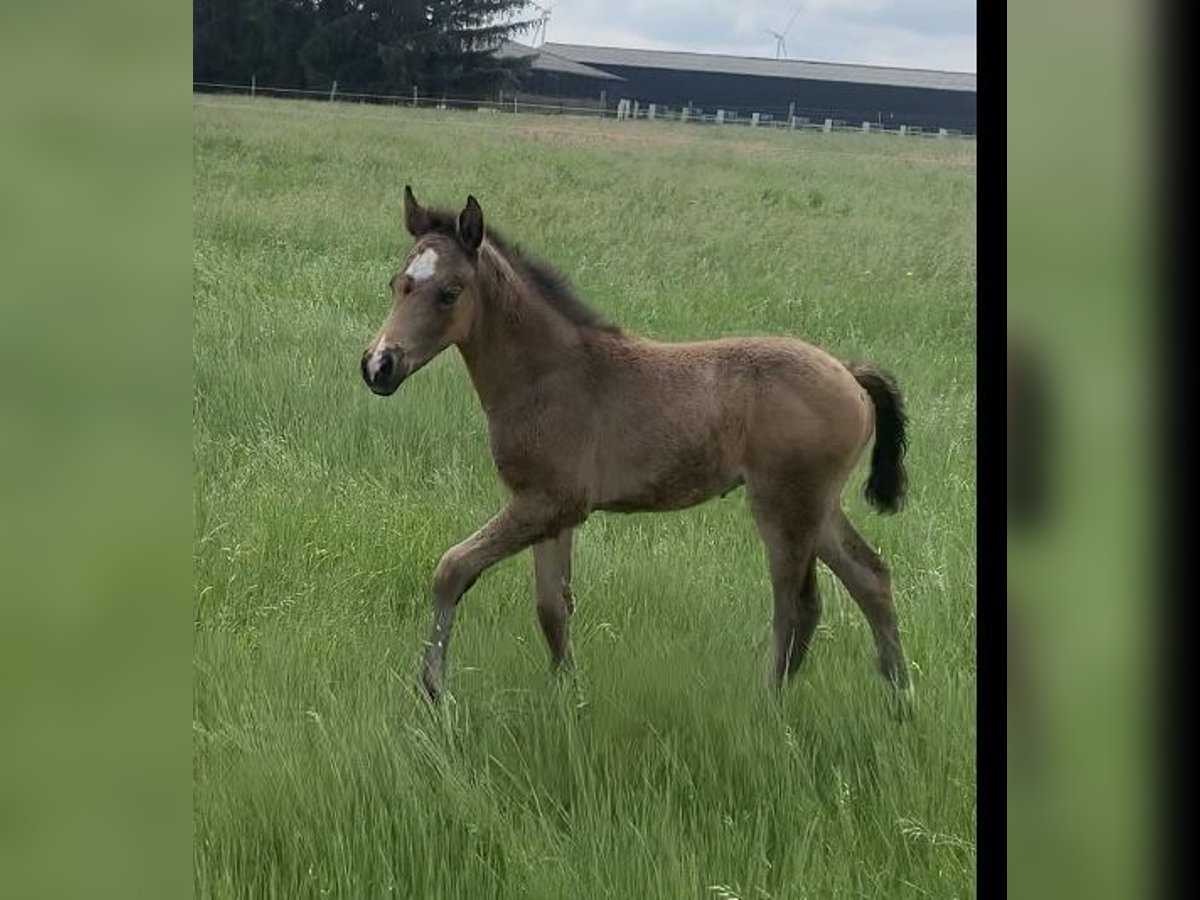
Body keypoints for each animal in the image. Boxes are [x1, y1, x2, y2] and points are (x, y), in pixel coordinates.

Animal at [362, 187, 907, 700]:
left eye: (449, 293)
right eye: (397, 284)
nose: (378, 366)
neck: (548, 373)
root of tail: (850, 374)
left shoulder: (546, 503)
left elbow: (452, 568)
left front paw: (432, 688)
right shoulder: (550, 511)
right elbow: (552, 607)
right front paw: (568, 694)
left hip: (785, 506)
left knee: (797, 607)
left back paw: (769, 702)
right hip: (818, 507)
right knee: (870, 578)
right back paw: (899, 696)